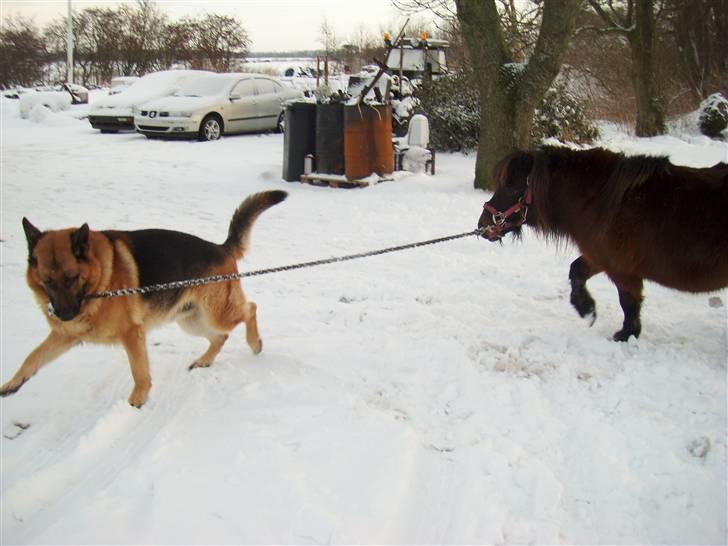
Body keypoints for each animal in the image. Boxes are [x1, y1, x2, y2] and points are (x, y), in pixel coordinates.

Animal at [0, 189, 288, 406]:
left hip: (217, 314)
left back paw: (255, 343)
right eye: (47, 281)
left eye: (72, 278)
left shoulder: (131, 334)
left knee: (250, 309)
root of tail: (221, 247)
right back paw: (204, 360)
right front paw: (11, 384)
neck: (100, 279)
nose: (64, 315)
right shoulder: (65, 336)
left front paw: (137, 400)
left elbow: (139, 373)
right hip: (191, 320)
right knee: (220, 337)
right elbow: (32, 357)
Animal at [478, 144, 728, 340]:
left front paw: (626, 335)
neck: (598, 200)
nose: (482, 225)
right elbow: (577, 271)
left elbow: (629, 303)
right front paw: (587, 309)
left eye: (512, 188)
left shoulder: (622, 270)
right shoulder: (601, 257)